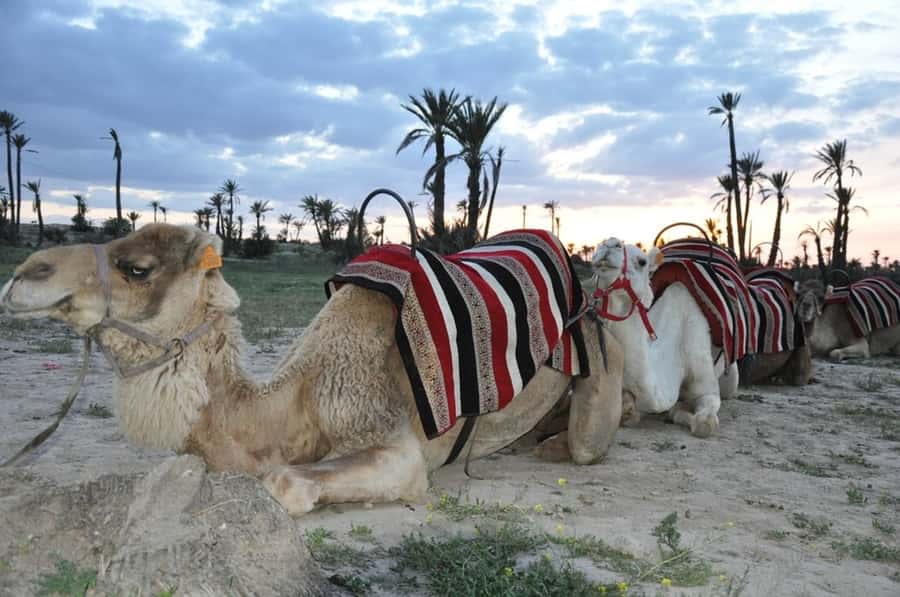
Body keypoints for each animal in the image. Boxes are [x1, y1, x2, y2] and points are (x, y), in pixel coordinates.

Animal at [0, 224, 623, 516]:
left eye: (137, 268)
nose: (24, 274)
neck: (296, 401)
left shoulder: (393, 441)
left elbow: (282, 482)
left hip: (598, 340)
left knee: (589, 436)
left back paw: (557, 443)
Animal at [590, 238, 738, 438]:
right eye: (598, 246)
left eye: (642, 262)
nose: (610, 243)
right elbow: (629, 412)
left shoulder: (706, 385)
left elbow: (704, 424)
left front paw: (677, 410)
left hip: (731, 380)